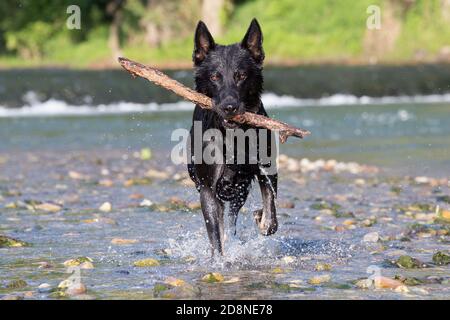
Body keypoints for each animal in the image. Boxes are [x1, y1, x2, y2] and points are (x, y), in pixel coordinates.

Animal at [186, 19, 278, 255]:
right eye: (215, 76)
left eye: (241, 76)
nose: (230, 107)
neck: (233, 136)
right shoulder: (208, 188)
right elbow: (215, 237)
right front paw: (219, 259)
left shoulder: (266, 172)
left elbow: (271, 218)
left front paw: (261, 218)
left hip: (239, 191)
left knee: (232, 217)